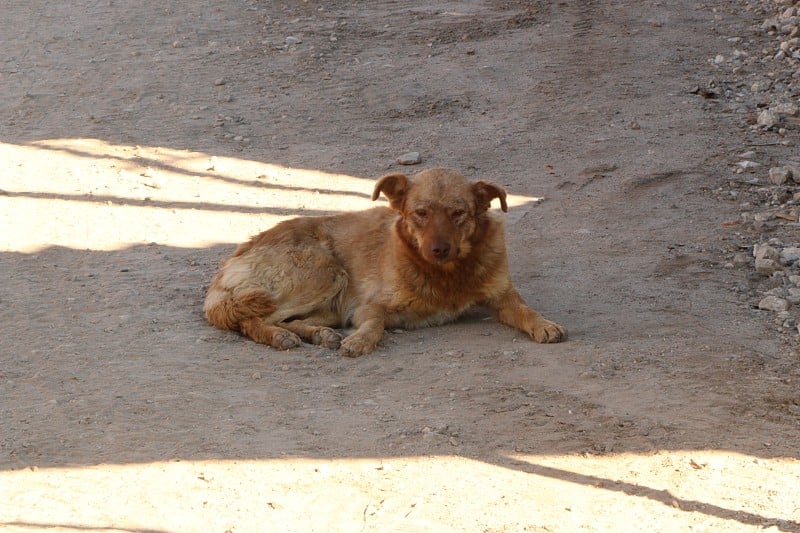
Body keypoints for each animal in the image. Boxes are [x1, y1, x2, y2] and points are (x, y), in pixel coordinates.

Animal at [203, 168, 564, 356]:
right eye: (421, 213)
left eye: (458, 213)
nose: (440, 249)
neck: (446, 275)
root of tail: (232, 259)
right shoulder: (369, 307)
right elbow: (375, 324)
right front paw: (361, 340)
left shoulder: (502, 297)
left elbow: (526, 311)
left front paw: (544, 324)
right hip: (325, 273)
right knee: (249, 319)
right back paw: (279, 336)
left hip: (330, 301)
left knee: (287, 320)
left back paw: (319, 334)